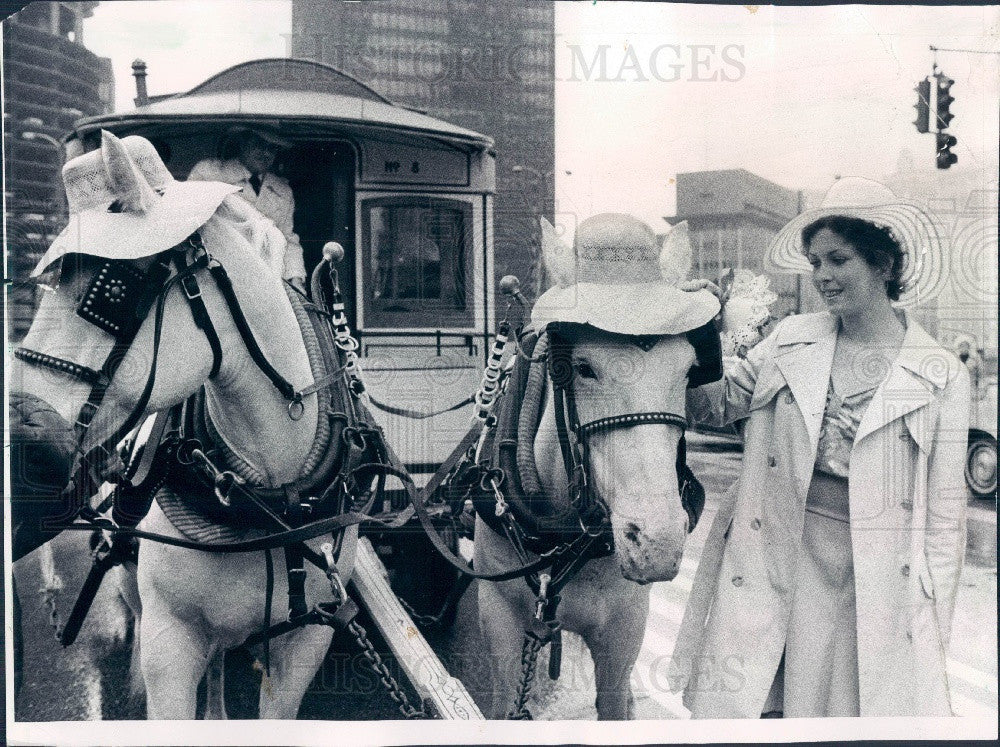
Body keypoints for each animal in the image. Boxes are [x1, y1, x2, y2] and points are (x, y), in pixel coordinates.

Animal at [472, 215, 716, 720]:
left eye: (688, 370)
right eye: (582, 367)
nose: (658, 541)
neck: (561, 532)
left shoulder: (624, 630)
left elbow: (616, 701)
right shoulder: (500, 616)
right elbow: (508, 704)